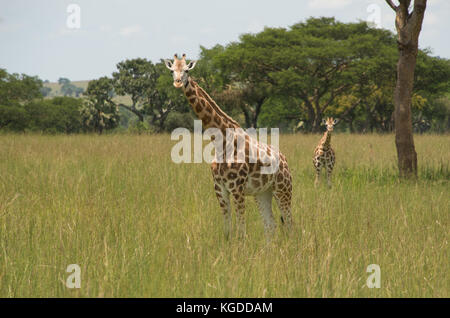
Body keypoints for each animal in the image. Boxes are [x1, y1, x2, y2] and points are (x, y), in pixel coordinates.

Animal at [163, 54, 294, 238]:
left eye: (187, 70)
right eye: (172, 70)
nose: (177, 82)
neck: (220, 141)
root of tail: (284, 160)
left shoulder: (237, 188)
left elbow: (241, 232)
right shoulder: (220, 189)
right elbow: (227, 231)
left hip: (283, 189)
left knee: (289, 224)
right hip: (262, 192)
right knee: (270, 225)